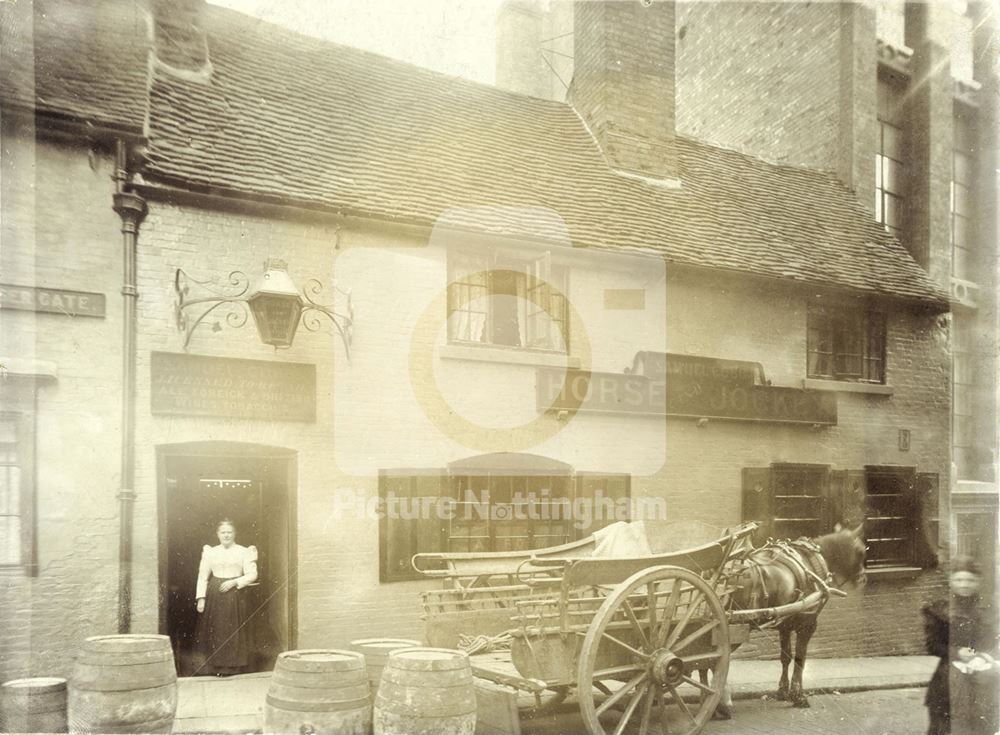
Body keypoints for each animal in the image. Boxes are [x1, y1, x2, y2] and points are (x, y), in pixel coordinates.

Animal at [716, 524, 864, 720]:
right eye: (861, 551)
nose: (864, 578)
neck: (812, 561)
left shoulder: (784, 626)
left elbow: (785, 656)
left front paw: (782, 691)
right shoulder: (808, 625)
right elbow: (800, 658)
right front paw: (798, 696)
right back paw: (720, 704)